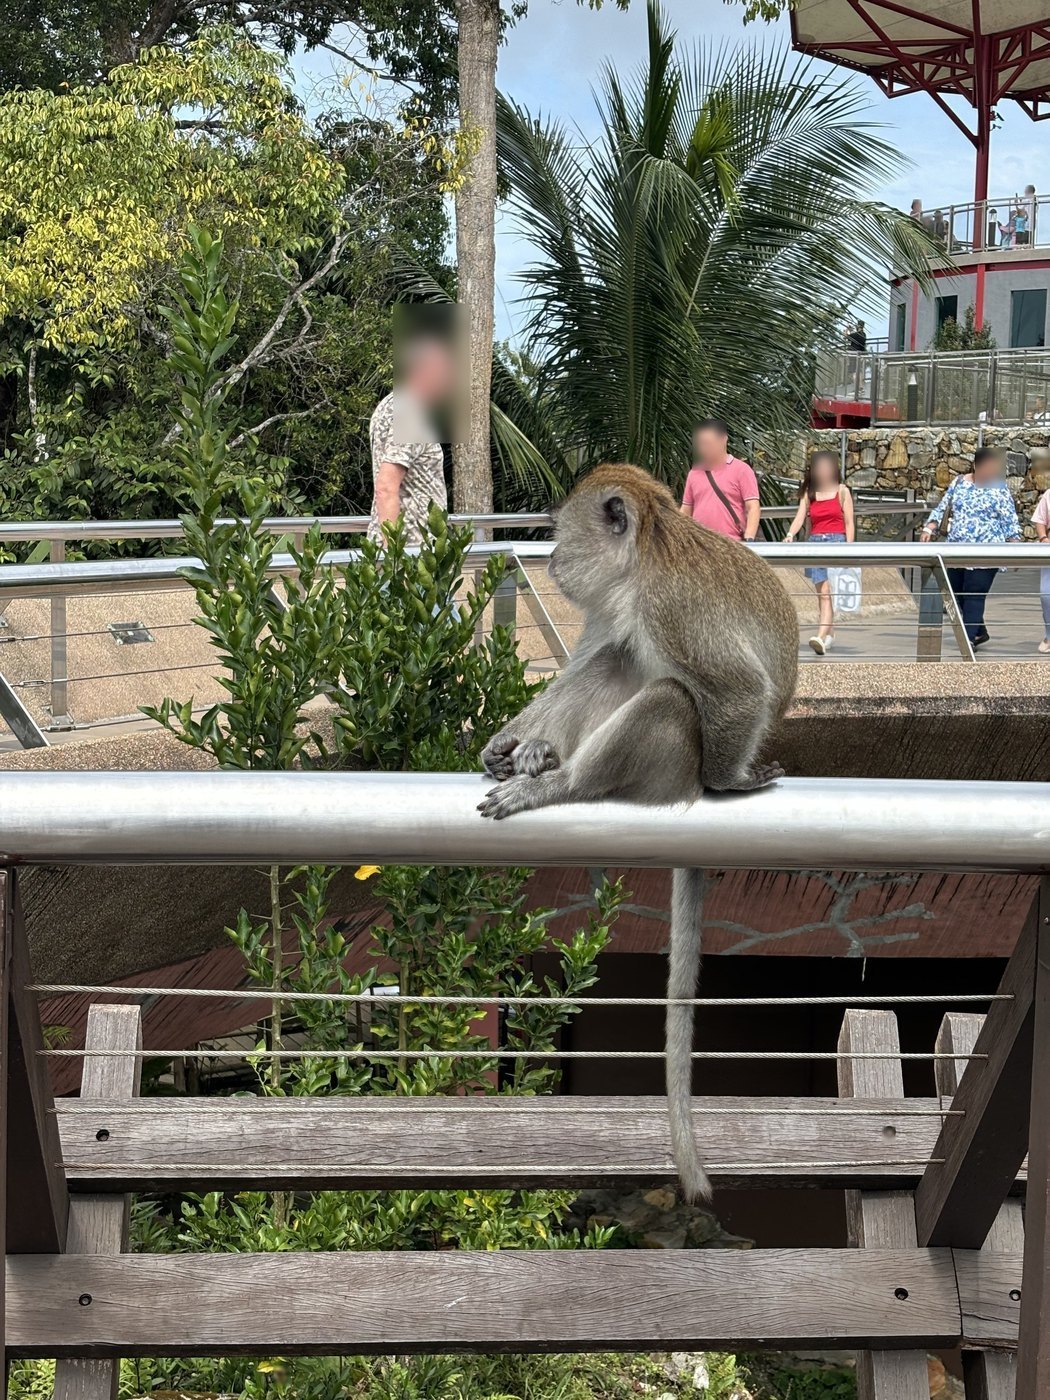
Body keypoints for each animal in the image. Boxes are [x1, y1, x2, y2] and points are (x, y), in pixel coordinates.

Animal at [477, 463, 798, 1203]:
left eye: (561, 532)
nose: (554, 561)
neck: (642, 560)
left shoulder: (666, 607)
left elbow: (739, 689)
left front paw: (733, 782)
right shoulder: (617, 608)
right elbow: (592, 658)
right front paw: (507, 740)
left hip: (669, 771)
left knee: (667, 698)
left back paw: (563, 783)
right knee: (615, 662)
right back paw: (537, 754)